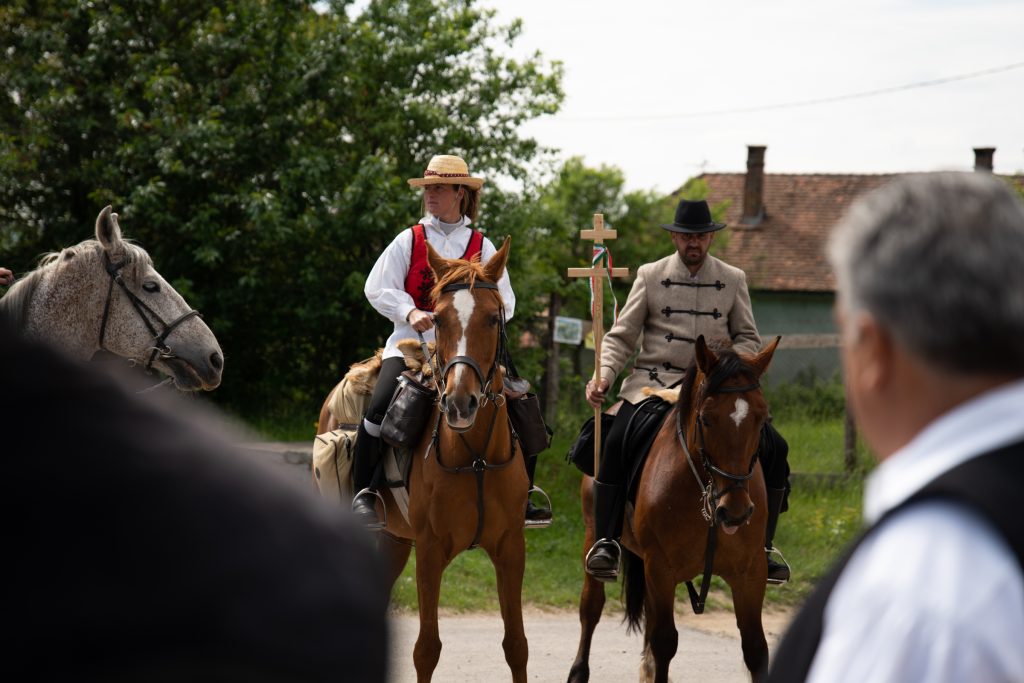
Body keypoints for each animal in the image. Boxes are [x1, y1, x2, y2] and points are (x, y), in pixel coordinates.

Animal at [374, 237, 532, 679]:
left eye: (494, 319)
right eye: (439, 320)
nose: (461, 403)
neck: (474, 457)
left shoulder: (511, 548)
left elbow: (516, 645)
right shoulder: (429, 552)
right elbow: (426, 649)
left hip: (395, 539)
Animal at [573, 335, 778, 683]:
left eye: (761, 418)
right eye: (706, 418)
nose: (735, 512)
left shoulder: (750, 572)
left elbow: (755, 648)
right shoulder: (661, 568)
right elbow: (665, 641)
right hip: (595, 535)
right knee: (591, 608)